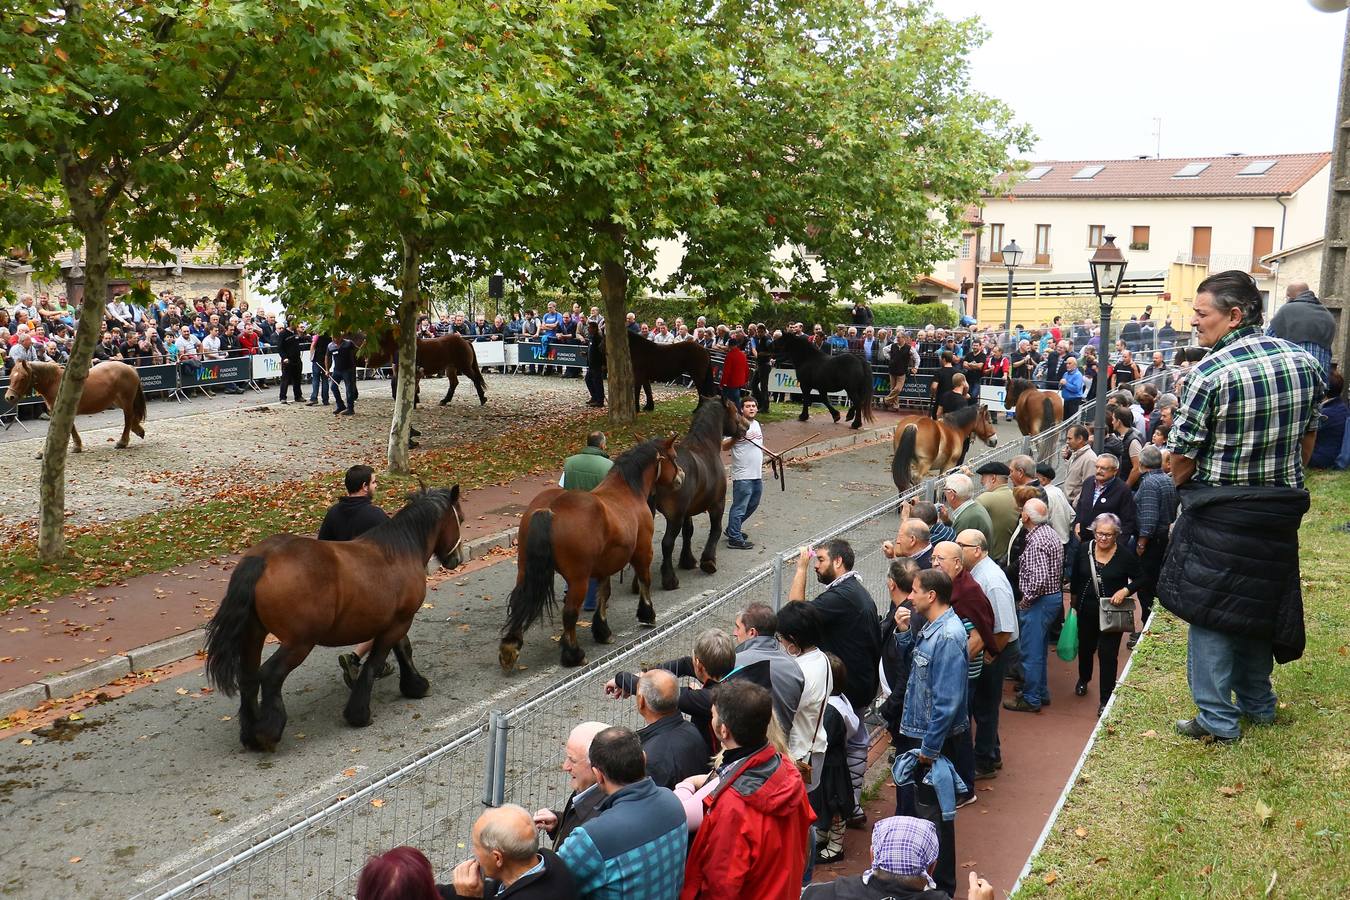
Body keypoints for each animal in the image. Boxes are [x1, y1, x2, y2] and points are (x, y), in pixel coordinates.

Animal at [4, 358, 146, 453]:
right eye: (10, 376)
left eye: (22, 378)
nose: (9, 397)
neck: (56, 383)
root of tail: (129, 367)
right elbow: (71, 428)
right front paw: (77, 446)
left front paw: (43, 451)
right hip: (118, 401)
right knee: (132, 418)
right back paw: (138, 430)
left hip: (126, 401)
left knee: (128, 419)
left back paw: (122, 442)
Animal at [203, 485, 464, 755]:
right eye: (461, 519)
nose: (457, 559)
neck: (401, 549)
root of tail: (263, 559)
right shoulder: (400, 621)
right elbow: (378, 661)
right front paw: (360, 713)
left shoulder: (394, 621)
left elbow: (402, 649)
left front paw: (413, 685)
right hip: (299, 643)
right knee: (270, 675)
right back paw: (268, 733)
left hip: (253, 634)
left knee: (248, 677)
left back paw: (250, 734)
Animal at [499, 437, 685, 669]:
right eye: (674, 456)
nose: (681, 476)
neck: (627, 490)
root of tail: (550, 509)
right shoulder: (643, 551)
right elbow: (644, 581)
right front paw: (647, 614)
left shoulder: (605, 565)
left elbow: (603, 594)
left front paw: (602, 631)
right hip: (579, 579)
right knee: (569, 613)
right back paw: (574, 654)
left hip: (524, 569)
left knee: (520, 600)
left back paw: (510, 646)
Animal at [650, 396, 750, 591]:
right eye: (735, 410)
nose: (747, 425)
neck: (705, 446)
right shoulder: (717, 504)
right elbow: (715, 529)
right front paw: (708, 561)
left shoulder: (687, 511)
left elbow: (688, 532)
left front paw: (687, 561)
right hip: (674, 517)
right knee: (667, 543)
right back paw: (669, 579)